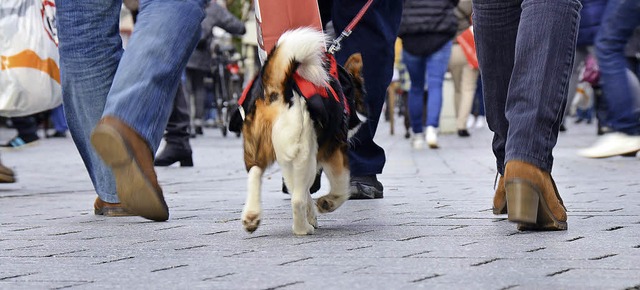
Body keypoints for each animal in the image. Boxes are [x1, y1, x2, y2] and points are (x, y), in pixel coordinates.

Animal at [229, 27, 364, 236]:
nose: (356, 125)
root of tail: (276, 89)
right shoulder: (334, 151)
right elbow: (341, 186)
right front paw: (327, 203)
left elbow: (302, 191)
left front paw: (313, 215)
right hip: (304, 153)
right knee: (297, 199)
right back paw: (302, 229)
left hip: (259, 145)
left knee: (255, 173)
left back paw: (252, 216)